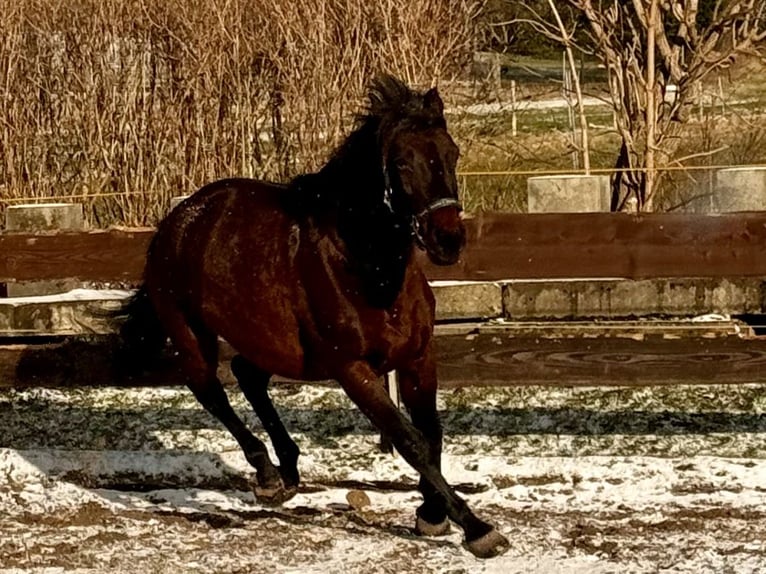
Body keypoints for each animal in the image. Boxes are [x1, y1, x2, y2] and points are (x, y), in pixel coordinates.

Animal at [118, 75, 510, 560]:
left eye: (451, 152)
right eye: (401, 162)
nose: (448, 240)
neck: (370, 270)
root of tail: (177, 221)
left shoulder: (418, 356)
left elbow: (432, 433)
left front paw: (432, 514)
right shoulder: (352, 368)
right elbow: (409, 439)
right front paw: (476, 529)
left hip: (267, 340)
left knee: (248, 375)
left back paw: (287, 468)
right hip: (191, 333)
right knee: (211, 391)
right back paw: (267, 474)